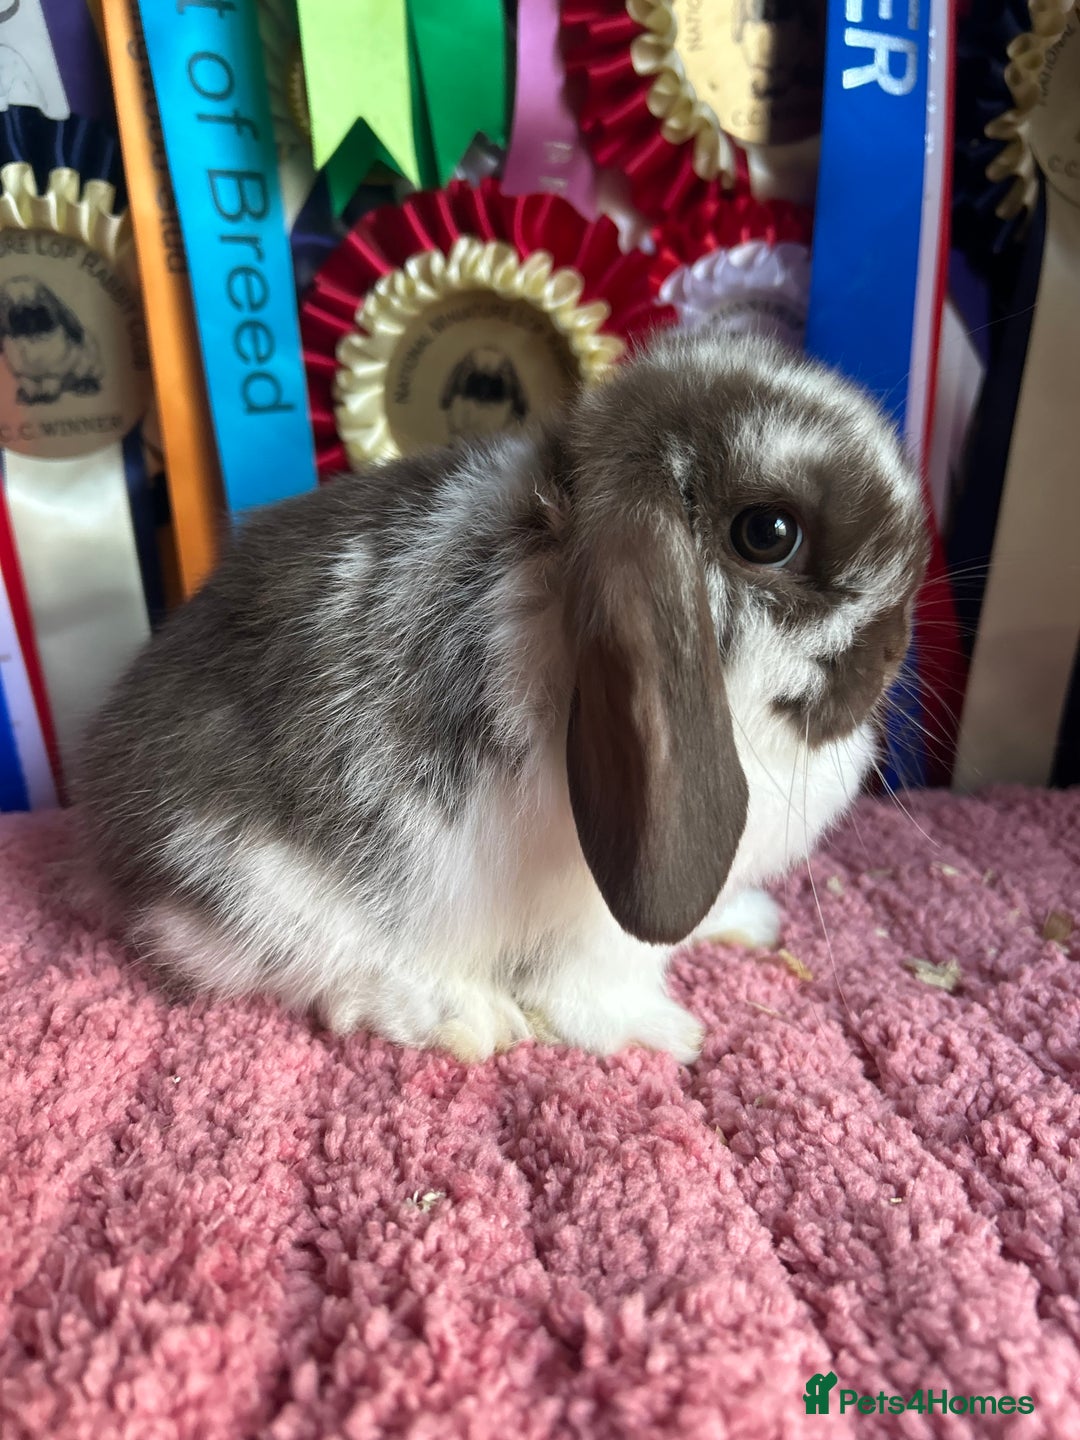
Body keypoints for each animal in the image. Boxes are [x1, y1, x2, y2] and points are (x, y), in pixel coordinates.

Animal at [71, 330, 928, 1064]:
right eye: (768, 533)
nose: (892, 648)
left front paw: (744, 922)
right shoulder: (595, 921)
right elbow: (588, 988)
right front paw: (661, 1033)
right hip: (268, 883)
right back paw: (462, 1016)